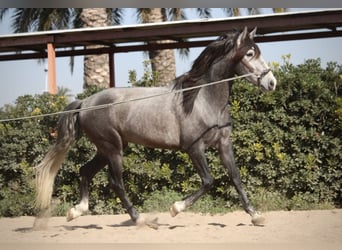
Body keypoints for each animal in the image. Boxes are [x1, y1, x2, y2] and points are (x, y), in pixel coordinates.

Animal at [34, 27, 276, 227]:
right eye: (249, 54)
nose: (271, 83)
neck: (201, 100)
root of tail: (85, 103)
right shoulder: (194, 148)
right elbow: (208, 181)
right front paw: (176, 208)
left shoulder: (223, 144)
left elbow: (235, 177)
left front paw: (256, 216)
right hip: (113, 149)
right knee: (116, 183)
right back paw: (140, 219)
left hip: (106, 149)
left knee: (85, 171)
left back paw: (76, 211)